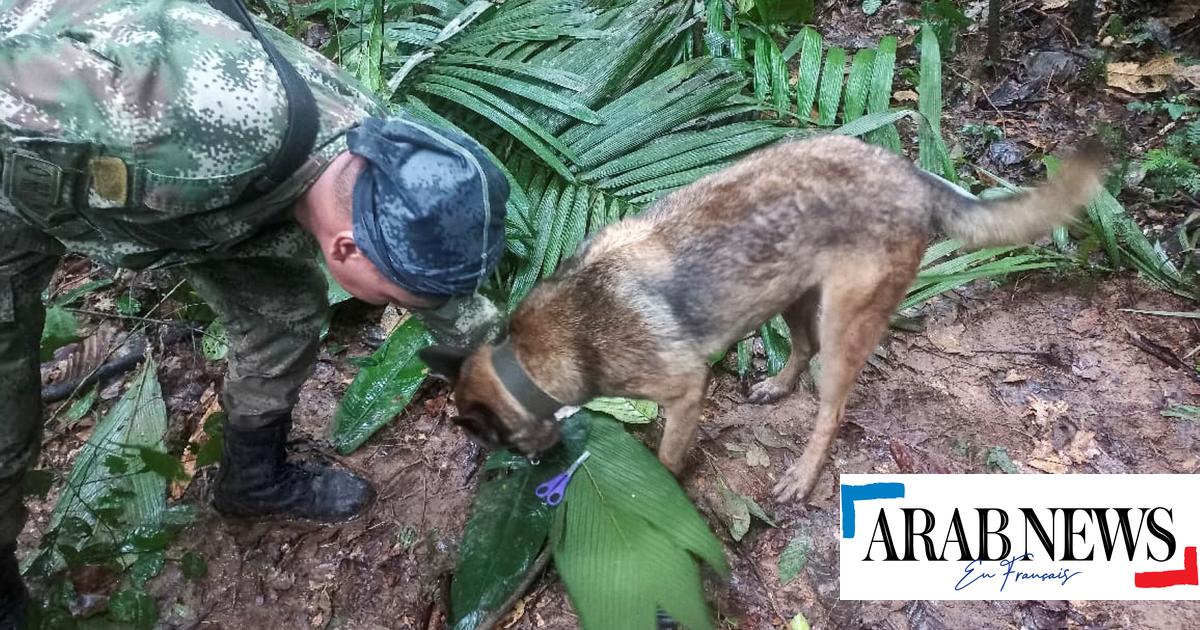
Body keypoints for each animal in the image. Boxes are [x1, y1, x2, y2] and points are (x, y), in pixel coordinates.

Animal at [424, 133, 1104, 501]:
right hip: (791, 296)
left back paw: (803, 474)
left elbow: (667, 456)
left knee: (831, 407)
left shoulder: (684, 389)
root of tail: (910, 174)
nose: (535, 469)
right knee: (800, 350)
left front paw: (664, 487)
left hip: (843, 322)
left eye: (492, 440)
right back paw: (777, 386)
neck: (530, 356)